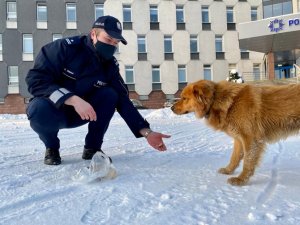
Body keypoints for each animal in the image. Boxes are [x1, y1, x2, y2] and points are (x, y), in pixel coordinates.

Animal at [171, 80, 300, 185]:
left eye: (184, 98)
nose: (171, 108)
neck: (218, 100)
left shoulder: (251, 139)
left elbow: (248, 161)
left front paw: (241, 180)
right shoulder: (239, 139)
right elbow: (235, 157)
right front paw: (228, 170)